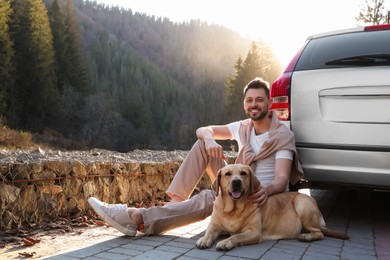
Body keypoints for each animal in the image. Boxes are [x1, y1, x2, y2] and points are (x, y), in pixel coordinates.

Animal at [197, 164, 348, 251]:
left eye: (243, 173)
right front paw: (204, 239)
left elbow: (236, 236)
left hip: (302, 205)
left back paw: (306, 236)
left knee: (320, 233)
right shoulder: (215, 225)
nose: (236, 182)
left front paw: (226, 242)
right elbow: (209, 232)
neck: (234, 210)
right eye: (227, 174)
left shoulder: (254, 232)